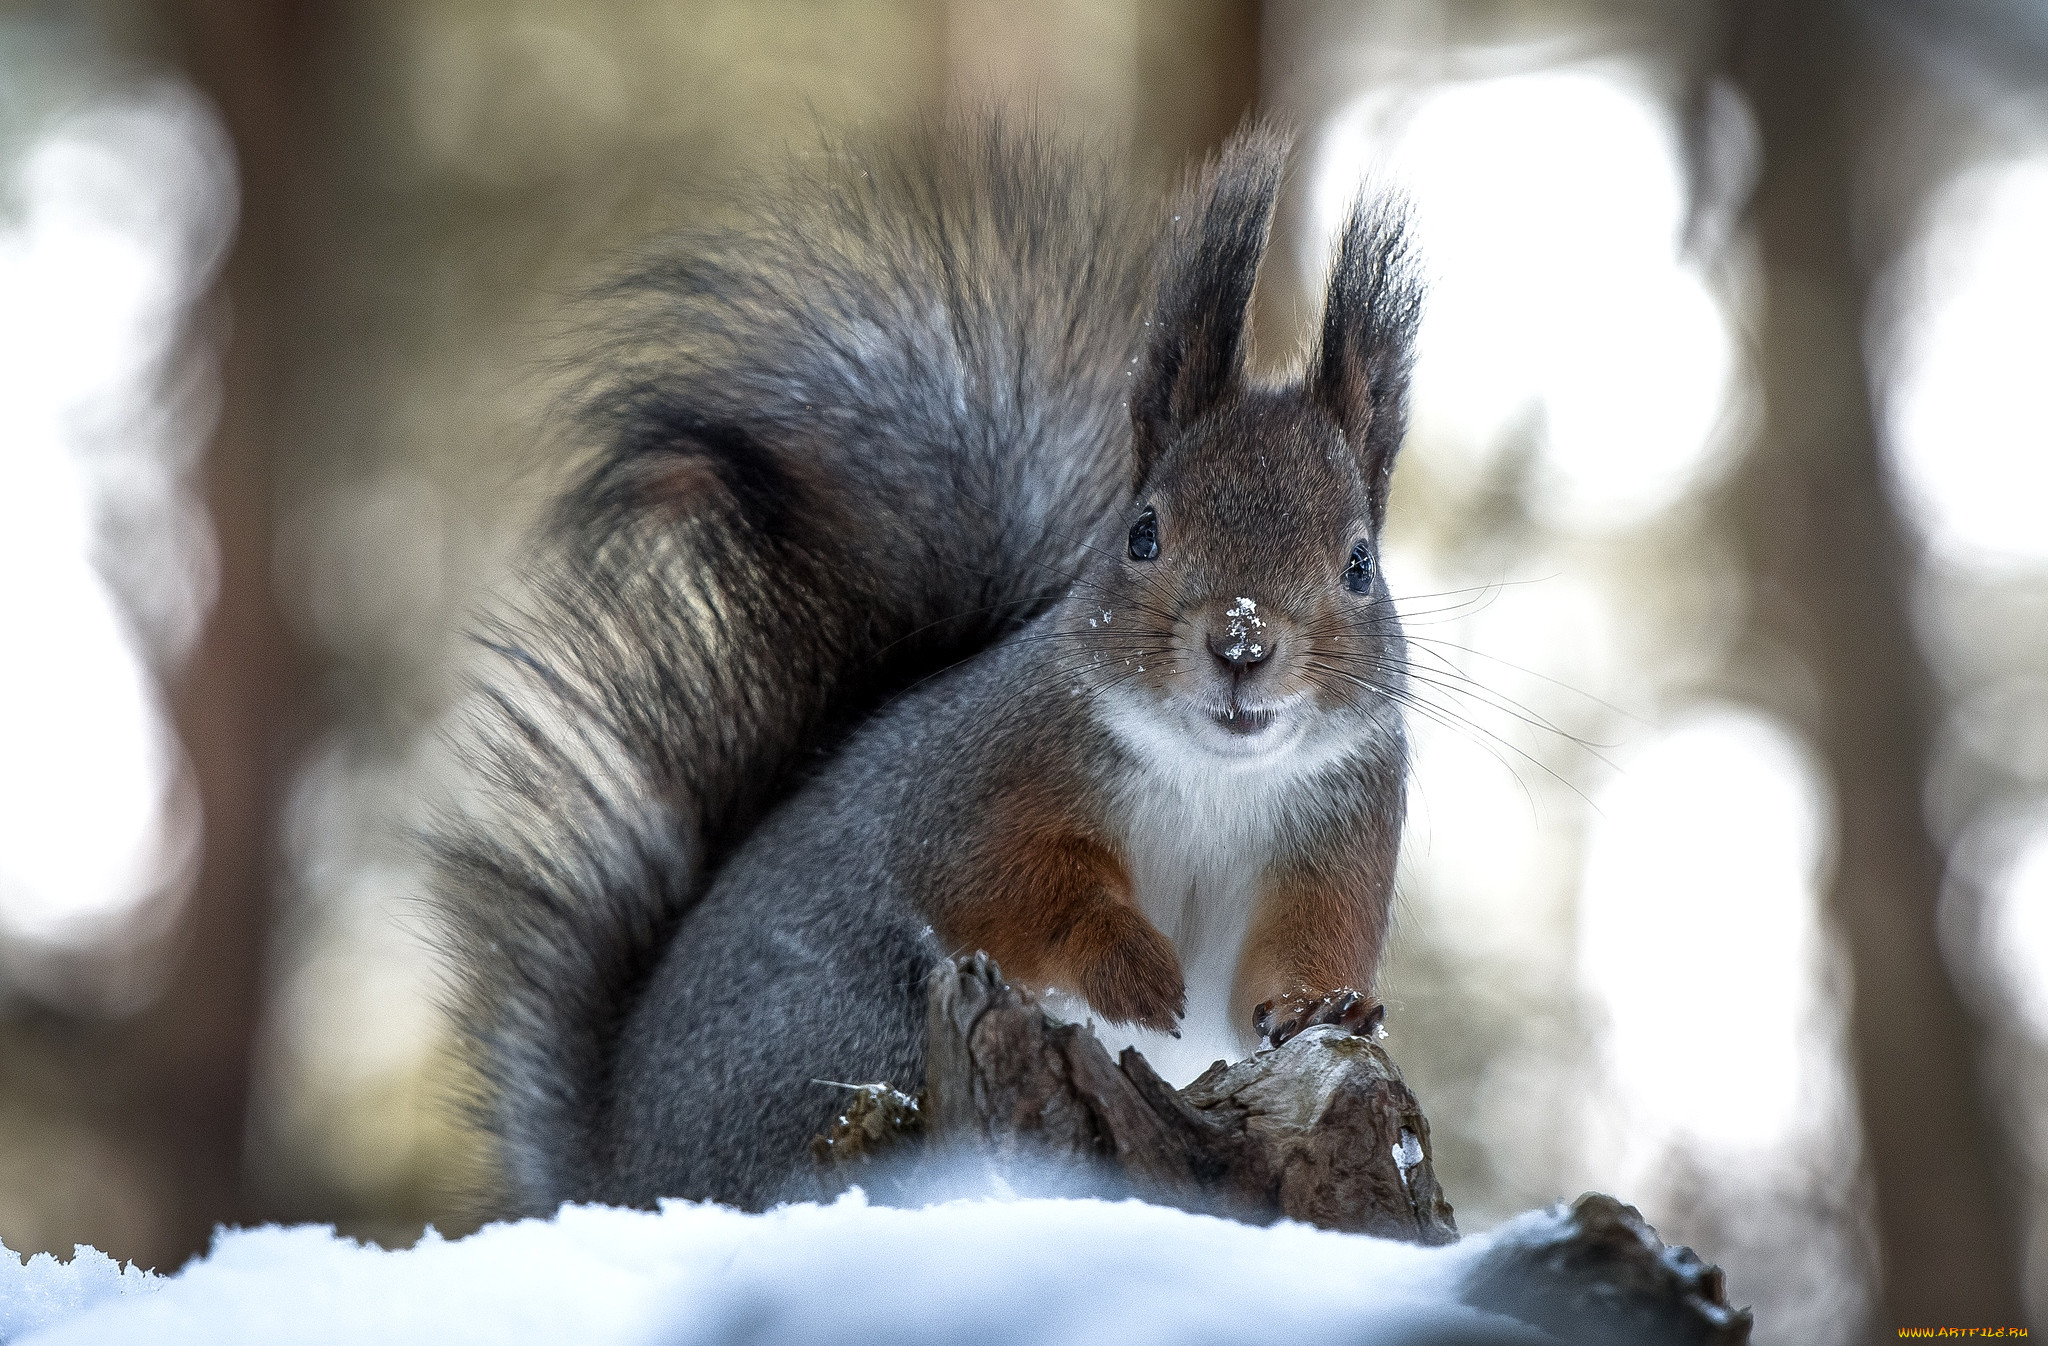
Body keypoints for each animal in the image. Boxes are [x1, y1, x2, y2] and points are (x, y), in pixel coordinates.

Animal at [432, 112, 1425, 1204]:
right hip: (845, 1041)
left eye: (1359, 564)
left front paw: (1324, 1010)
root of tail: (622, 1173)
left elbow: (1285, 962)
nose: (1241, 640)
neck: (1215, 776)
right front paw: (1130, 968)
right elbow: (1007, 890)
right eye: (1143, 534)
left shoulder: (1339, 839)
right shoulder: (981, 781)